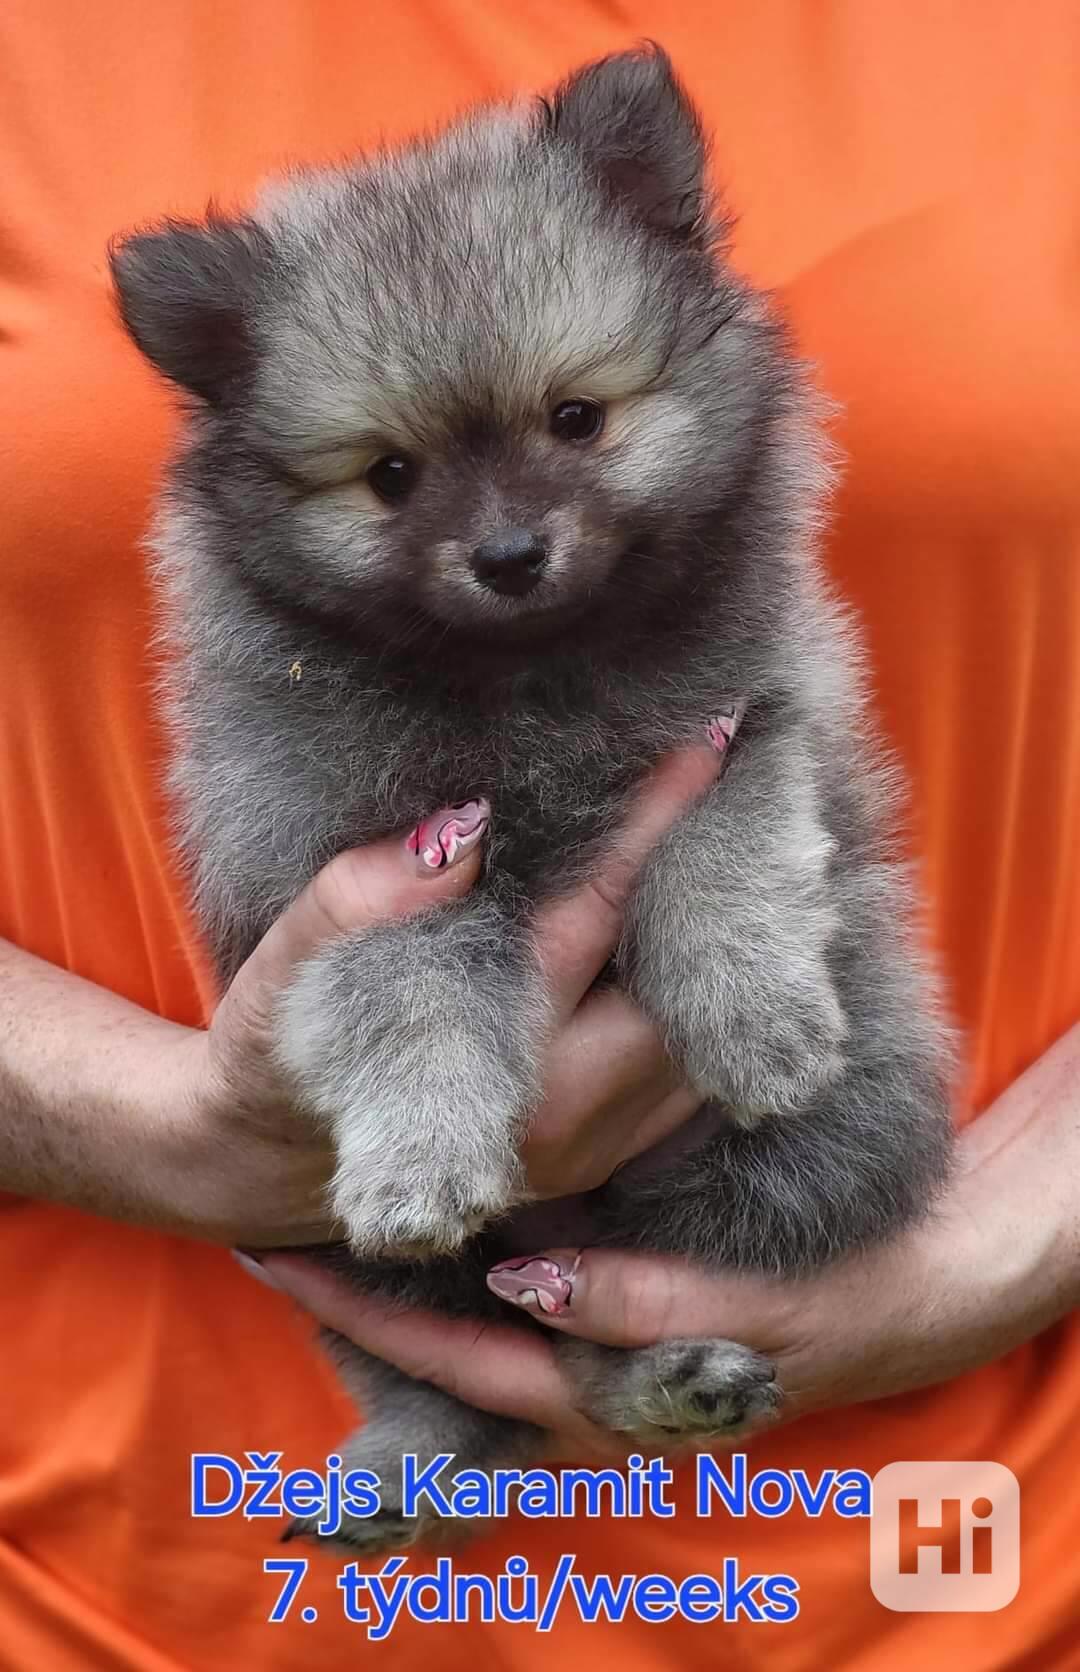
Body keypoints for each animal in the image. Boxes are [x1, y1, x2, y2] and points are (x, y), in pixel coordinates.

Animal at [110, 42, 956, 1551]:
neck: (532, 685)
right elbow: (418, 994)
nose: (508, 552)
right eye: (389, 476)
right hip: (319, 1246)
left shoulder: (749, 725)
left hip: (814, 1153)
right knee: (466, 1364)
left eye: (578, 419)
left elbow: (721, 851)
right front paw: (421, 1155)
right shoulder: (364, 865)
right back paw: (412, 1460)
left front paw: (753, 1017)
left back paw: (675, 1376)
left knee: (601, 1323)